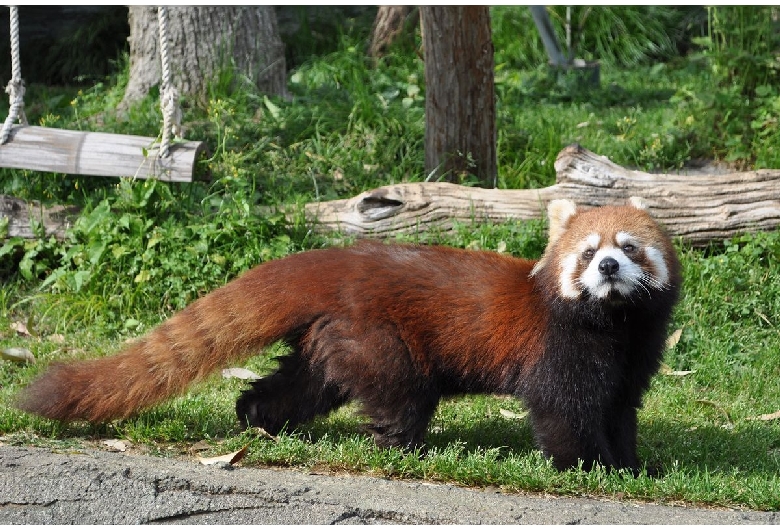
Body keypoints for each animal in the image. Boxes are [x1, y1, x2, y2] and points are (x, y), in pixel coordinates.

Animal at [15, 196, 680, 472]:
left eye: (629, 247)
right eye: (588, 252)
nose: (608, 268)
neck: (614, 327)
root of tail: (340, 262)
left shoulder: (634, 357)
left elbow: (620, 410)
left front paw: (633, 465)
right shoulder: (559, 350)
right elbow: (563, 412)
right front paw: (589, 468)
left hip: (331, 337)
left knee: (302, 383)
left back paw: (258, 416)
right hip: (379, 338)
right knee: (400, 398)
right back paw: (406, 448)